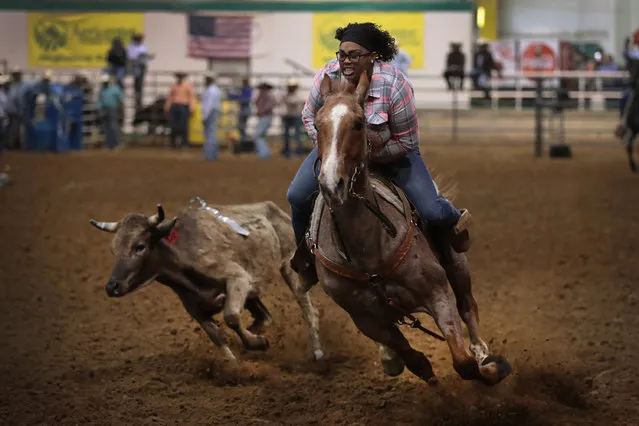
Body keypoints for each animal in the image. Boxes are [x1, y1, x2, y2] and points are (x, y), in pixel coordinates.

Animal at [302, 72, 516, 386]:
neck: (368, 247)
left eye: (358, 123)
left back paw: (482, 352)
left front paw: (492, 368)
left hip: (458, 264)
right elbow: (417, 362)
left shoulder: (437, 294)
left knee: (468, 306)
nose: (331, 185)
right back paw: (390, 358)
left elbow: (463, 362)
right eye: (317, 125)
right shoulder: (365, 319)